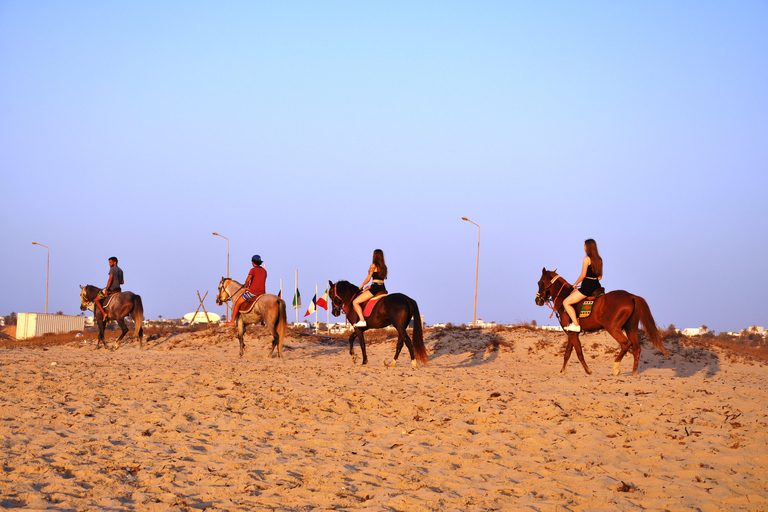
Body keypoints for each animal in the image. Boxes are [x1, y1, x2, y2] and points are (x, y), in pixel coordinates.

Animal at [536, 268, 664, 376]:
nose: (537, 300)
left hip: (613, 328)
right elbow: (567, 353)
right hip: (631, 328)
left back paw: (616, 367)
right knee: (637, 349)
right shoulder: (572, 333)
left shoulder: (572, 334)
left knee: (626, 344)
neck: (564, 298)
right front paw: (562, 371)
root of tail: (632, 296)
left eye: (539, 282)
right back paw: (633, 374)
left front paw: (588, 370)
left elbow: (579, 353)